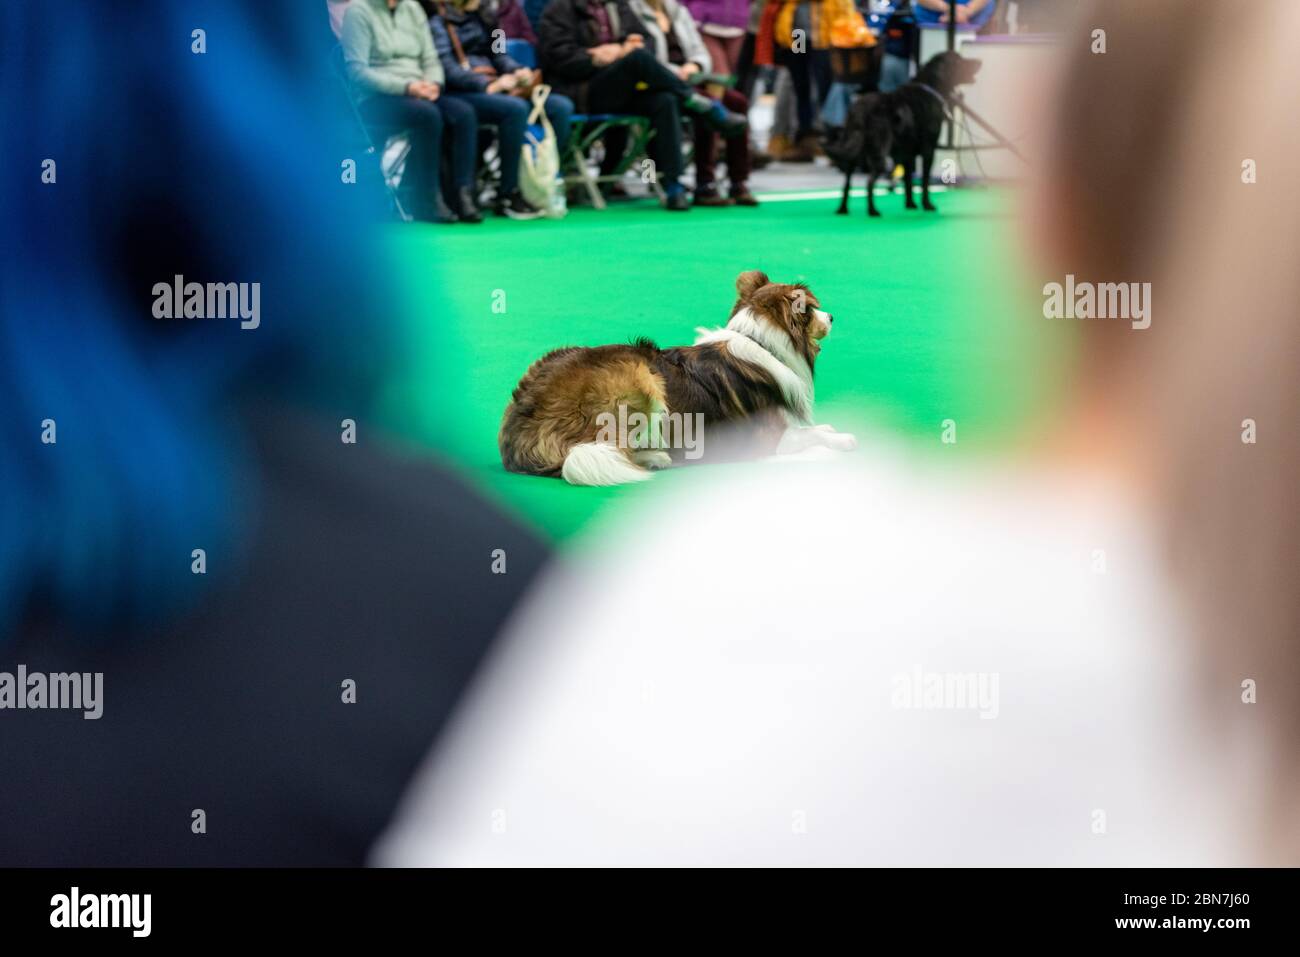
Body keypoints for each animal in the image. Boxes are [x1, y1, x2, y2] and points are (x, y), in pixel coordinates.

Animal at [501, 269, 857, 486]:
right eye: (813, 308)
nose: (832, 316)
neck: (762, 342)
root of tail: (517, 432)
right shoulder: (767, 437)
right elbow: (811, 436)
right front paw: (841, 440)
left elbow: (814, 429)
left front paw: (831, 431)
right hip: (639, 378)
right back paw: (656, 457)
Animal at [826, 52, 977, 218]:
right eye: (959, 60)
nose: (979, 62)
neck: (931, 87)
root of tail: (860, 109)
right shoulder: (928, 150)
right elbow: (924, 181)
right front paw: (927, 205)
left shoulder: (906, 154)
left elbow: (908, 181)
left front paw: (910, 204)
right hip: (879, 153)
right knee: (869, 182)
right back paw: (873, 211)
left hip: (853, 151)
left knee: (847, 182)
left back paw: (843, 209)